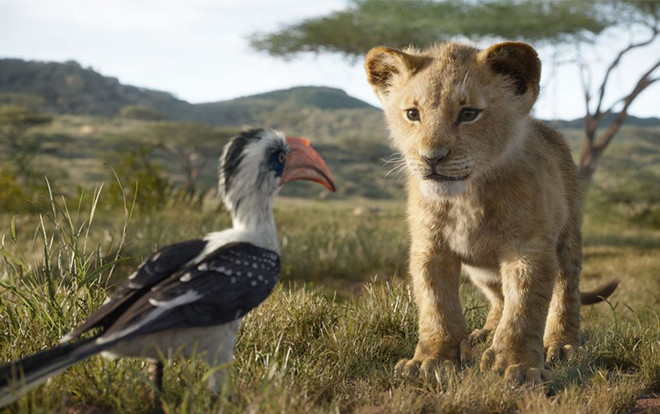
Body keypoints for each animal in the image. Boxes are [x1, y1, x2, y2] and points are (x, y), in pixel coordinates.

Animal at [365, 41, 618, 384]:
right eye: (413, 114)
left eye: (469, 114)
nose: (431, 158)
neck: (466, 198)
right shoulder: (430, 249)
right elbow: (436, 305)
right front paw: (431, 360)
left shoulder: (528, 249)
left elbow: (524, 309)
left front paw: (517, 365)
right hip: (482, 271)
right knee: (499, 298)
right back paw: (483, 334)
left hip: (568, 238)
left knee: (566, 291)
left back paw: (562, 345)